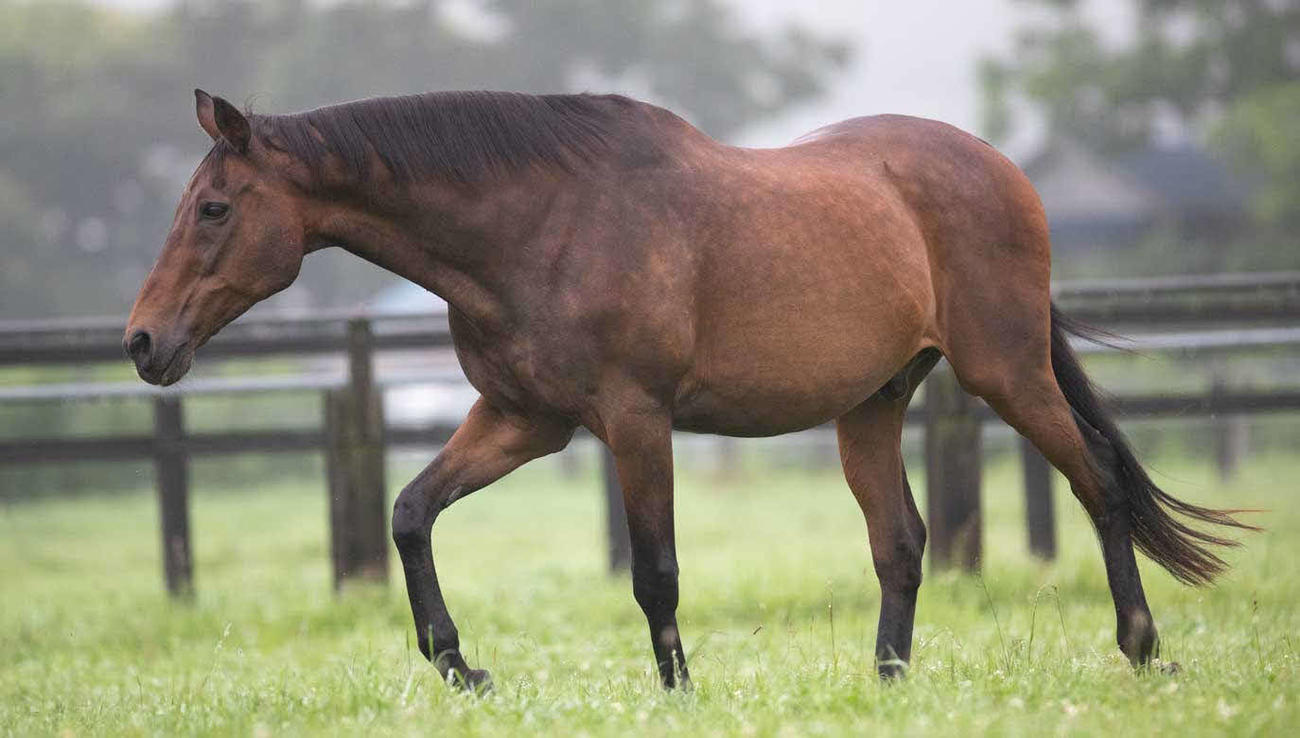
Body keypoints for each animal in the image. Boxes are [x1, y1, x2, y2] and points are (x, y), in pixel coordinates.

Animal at [125, 88, 1250, 691]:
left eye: (215, 208)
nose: (142, 343)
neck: (539, 226)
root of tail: (1002, 169)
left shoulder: (634, 420)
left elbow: (654, 572)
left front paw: (676, 691)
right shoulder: (523, 422)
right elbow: (409, 512)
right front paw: (459, 665)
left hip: (1004, 370)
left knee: (1096, 482)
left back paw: (1141, 649)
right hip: (873, 404)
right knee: (901, 542)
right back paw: (887, 681)